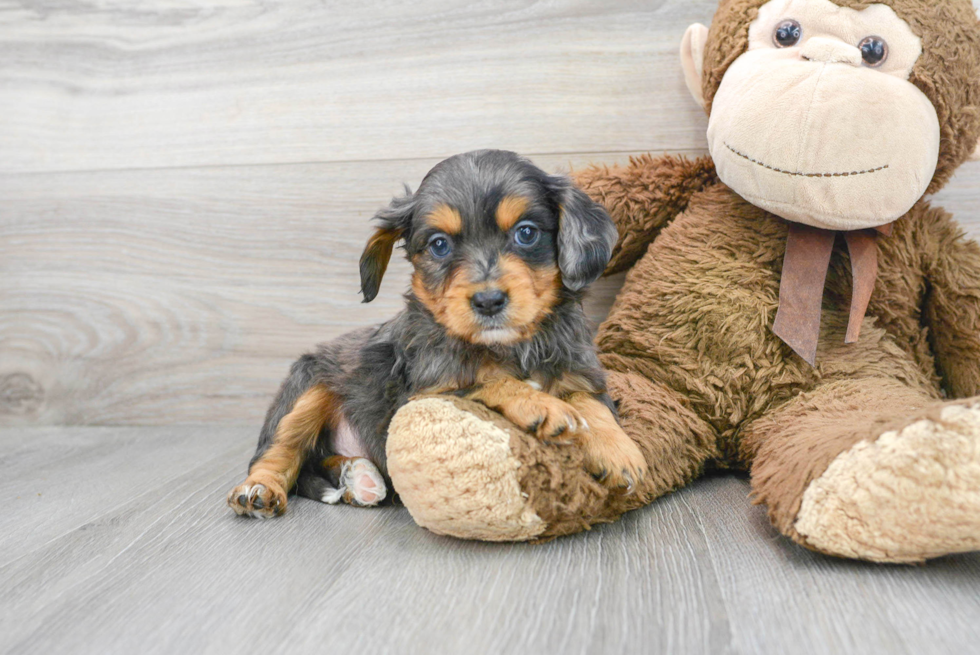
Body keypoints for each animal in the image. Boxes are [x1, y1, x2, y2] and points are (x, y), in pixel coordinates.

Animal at [226, 149, 648, 516]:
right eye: (439, 245)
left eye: (526, 233)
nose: (489, 301)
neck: (510, 347)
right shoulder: (425, 395)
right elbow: (488, 382)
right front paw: (541, 406)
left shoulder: (579, 370)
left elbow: (591, 404)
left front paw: (618, 450)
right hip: (307, 388)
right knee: (277, 453)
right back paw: (260, 490)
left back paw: (357, 478)